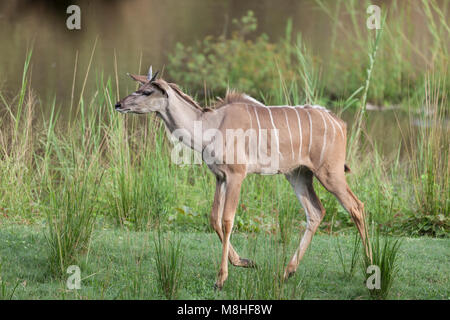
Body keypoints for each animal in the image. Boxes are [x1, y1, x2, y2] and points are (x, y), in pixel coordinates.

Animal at [115, 66, 370, 288]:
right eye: (138, 87)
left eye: (147, 91)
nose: (119, 104)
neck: (210, 126)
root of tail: (340, 123)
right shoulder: (220, 177)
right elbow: (214, 218)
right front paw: (245, 262)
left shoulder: (236, 175)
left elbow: (227, 220)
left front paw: (221, 279)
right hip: (298, 175)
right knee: (316, 212)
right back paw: (287, 272)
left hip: (330, 173)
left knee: (356, 206)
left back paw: (369, 266)